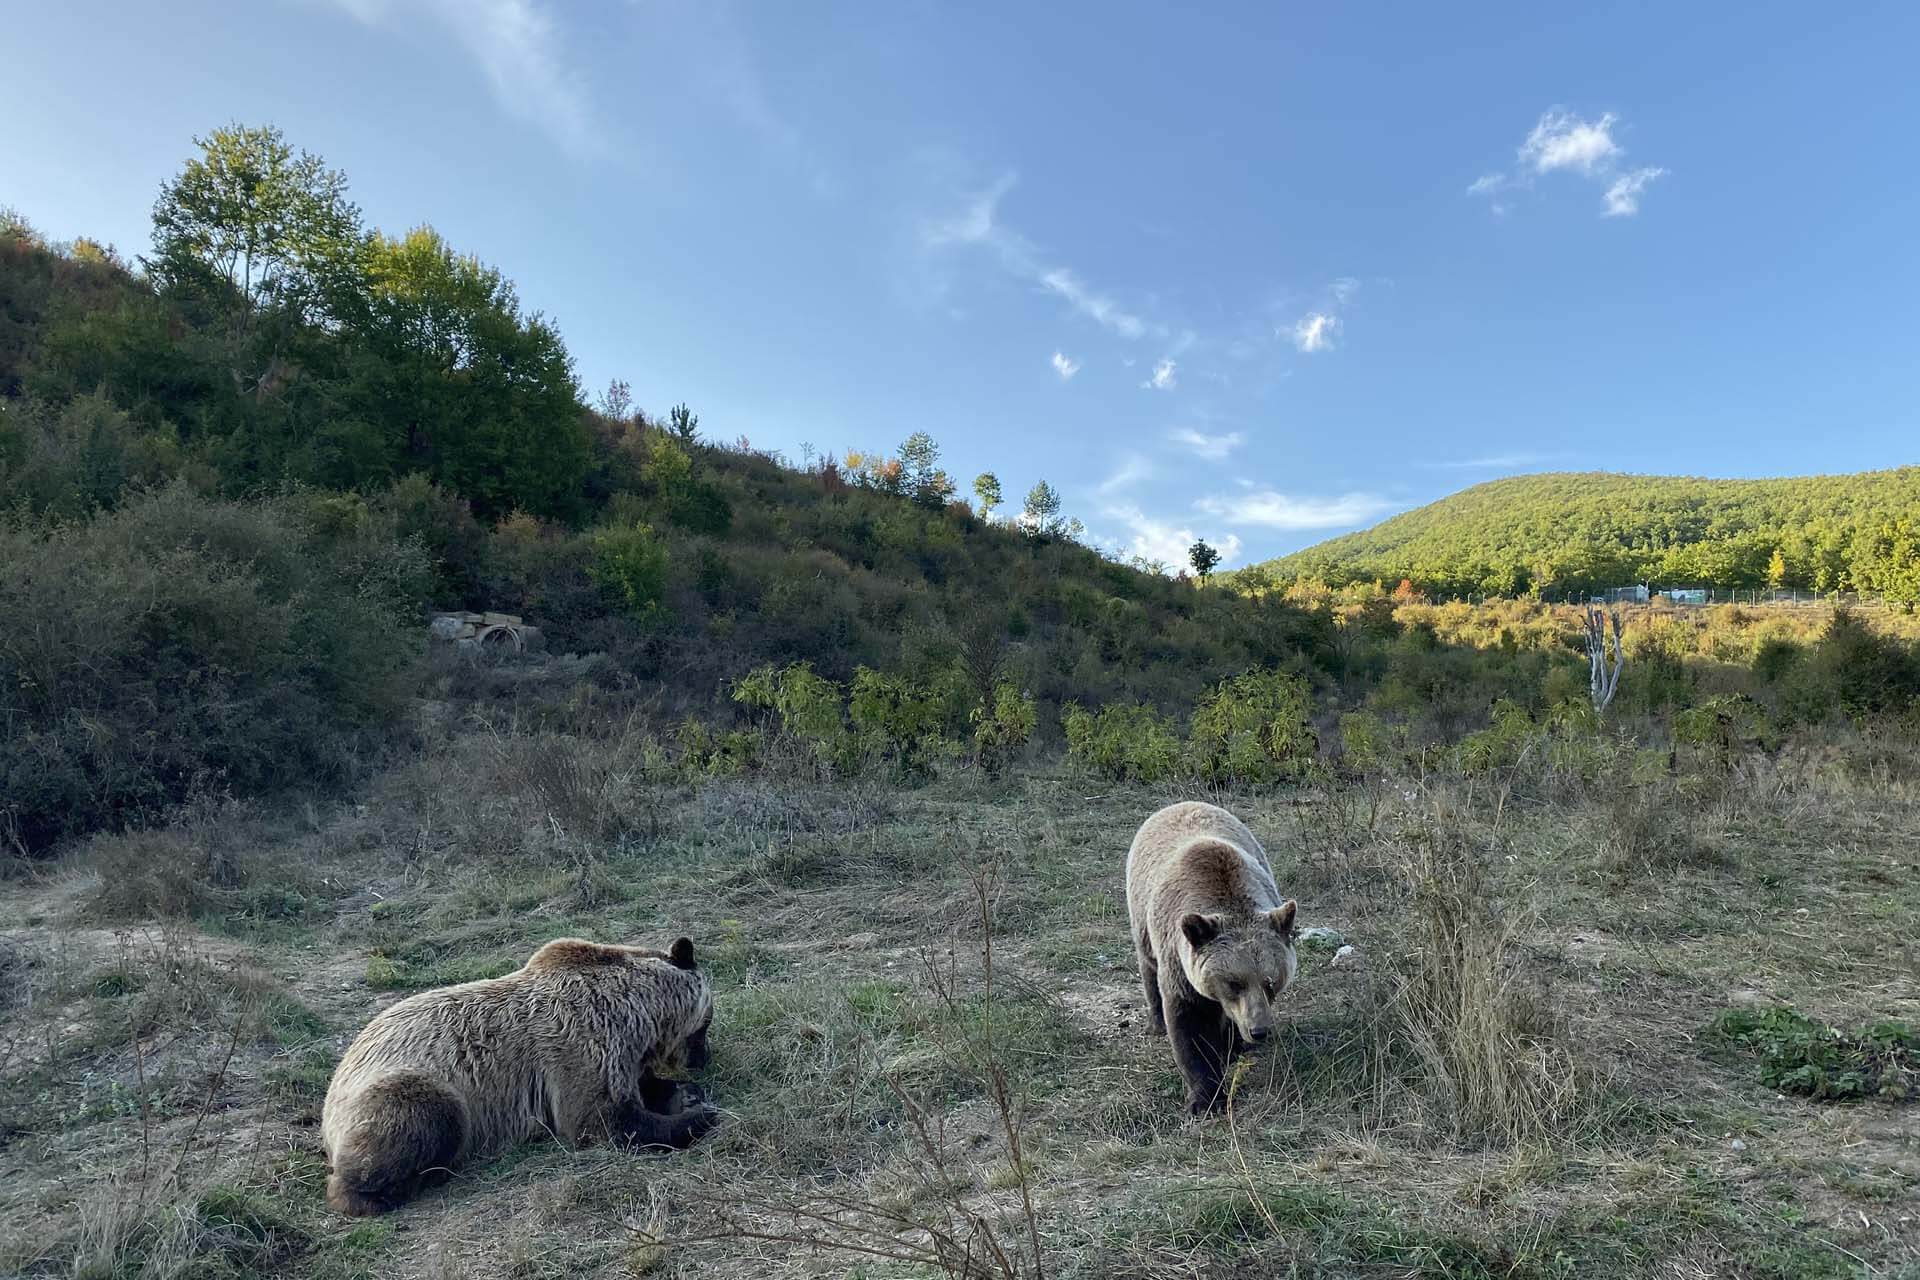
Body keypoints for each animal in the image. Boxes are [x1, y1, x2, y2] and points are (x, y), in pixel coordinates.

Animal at [322, 936, 721, 1220]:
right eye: (706, 1023)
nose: (703, 1059)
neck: (639, 1012)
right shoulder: (581, 1040)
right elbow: (603, 1120)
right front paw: (698, 1117)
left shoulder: (619, 1053)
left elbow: (640, 1088)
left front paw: (685, 1094)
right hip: (411, 1084)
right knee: (422, 1115)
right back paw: (387, 1191)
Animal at [1121, 802, 1305, 1113]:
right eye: (1234, 982)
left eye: (1271, 982)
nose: (1259, 1030)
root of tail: (1178, 804)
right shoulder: (1179, 964)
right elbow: (1189, 1027)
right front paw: (1206, 1098)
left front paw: (1233, 1046)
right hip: (1141, 916)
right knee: (1148, 967)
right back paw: (1156, 1022)